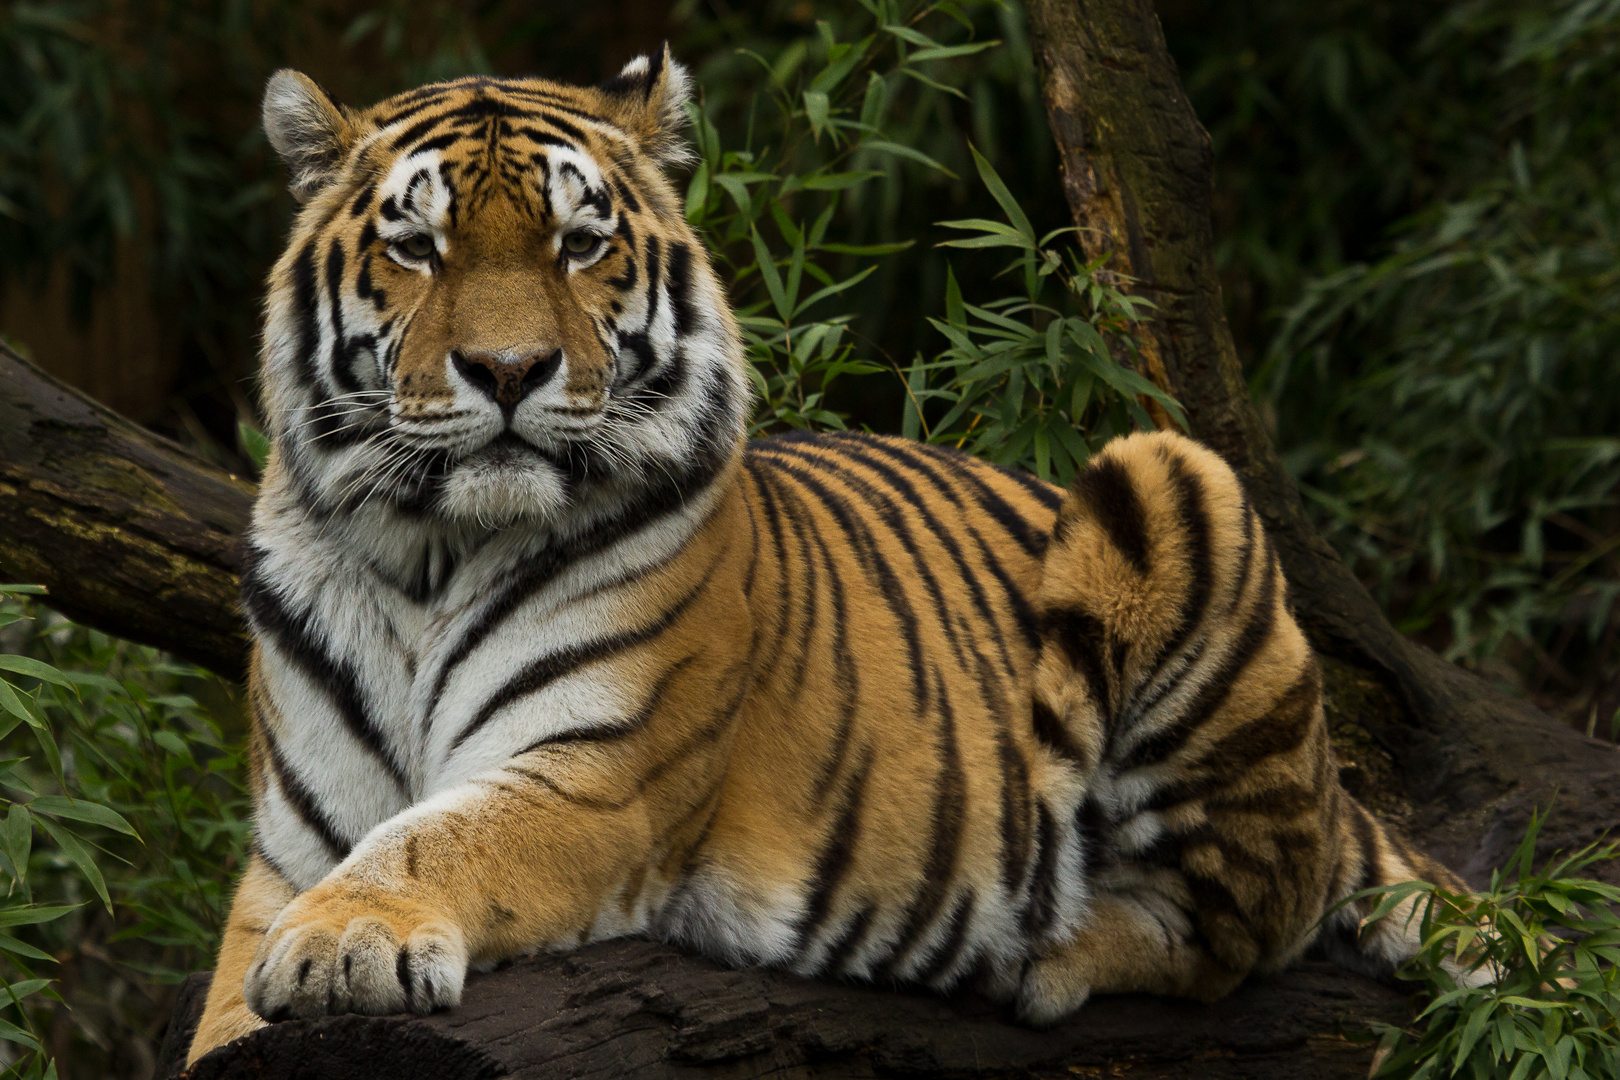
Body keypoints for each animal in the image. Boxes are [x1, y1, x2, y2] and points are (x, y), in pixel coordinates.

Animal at [189, 48, 1470, 1062]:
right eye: (416, 246)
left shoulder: (595, 779)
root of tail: (1333, 783)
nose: (509, 372)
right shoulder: (286, 850)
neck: (428, 552)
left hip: (1174, 477)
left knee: (1238, 928)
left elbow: (438, 839)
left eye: (581, 242)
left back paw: (1037, 946)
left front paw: (346, 941)